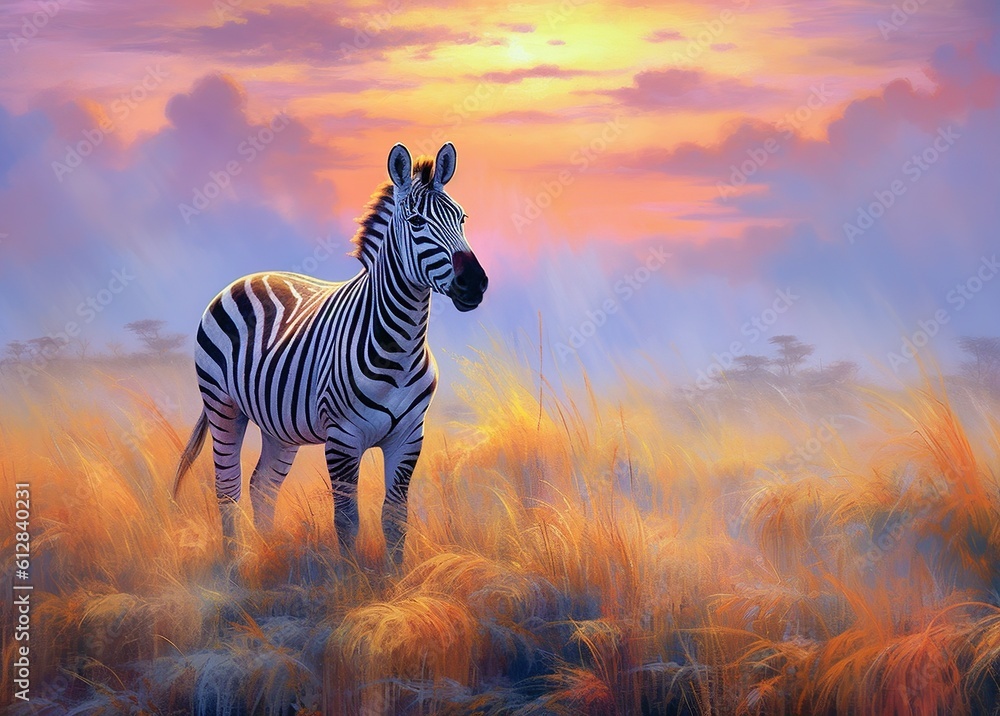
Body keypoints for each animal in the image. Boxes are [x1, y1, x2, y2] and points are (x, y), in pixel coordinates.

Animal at [172, 142, 488, 564]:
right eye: (417, 222)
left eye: (462, 218)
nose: (475, 283)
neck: (400, 345)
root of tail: (248, 277)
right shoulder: (342, 439)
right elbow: (347, 522)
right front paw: (351, 579)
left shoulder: (408, 438)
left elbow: (395, 521)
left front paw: (397, 579)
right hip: (223, 406)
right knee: (228, 489)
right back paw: (235, 566)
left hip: (278, 426)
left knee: (262, 486)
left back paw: (268, 556)